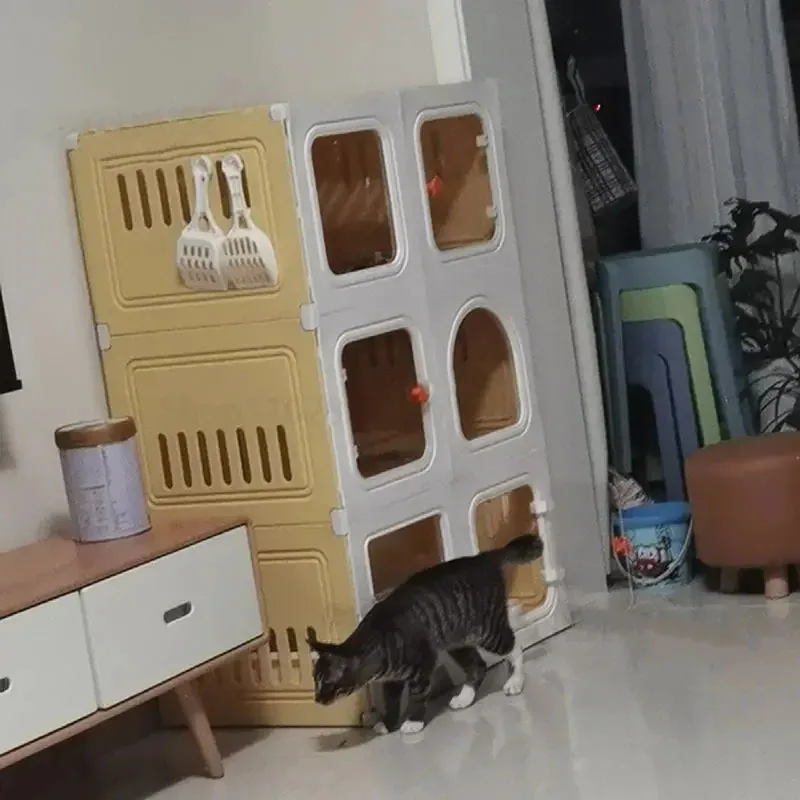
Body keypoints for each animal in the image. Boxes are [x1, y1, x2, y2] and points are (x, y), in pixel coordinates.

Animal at [306, 536, 544, 736]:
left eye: (326, 682)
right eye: (315, 681)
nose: (316, 698)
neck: (378, 643)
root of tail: (483, 557)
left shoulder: (423, 666)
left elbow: (417, 697)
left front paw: (413, 722)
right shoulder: (391, 681)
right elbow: (392, 703)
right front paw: (388, 723)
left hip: (488, 630)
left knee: (514, 647)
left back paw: (515, 681)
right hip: (457, 640)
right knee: (478, 666)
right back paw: (465, 698)